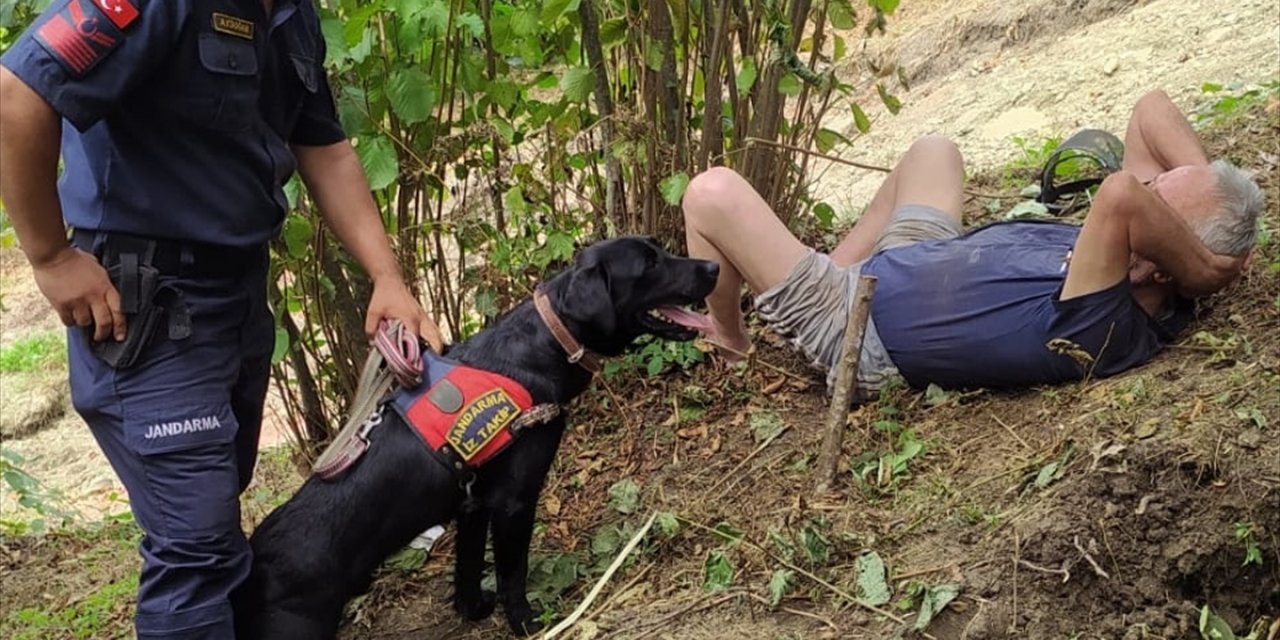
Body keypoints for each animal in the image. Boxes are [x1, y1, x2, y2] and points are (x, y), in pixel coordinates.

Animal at [234, 238, 721, 637]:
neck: (544, 344)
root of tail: (252, 567)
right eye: (650, 264)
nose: (714, 265)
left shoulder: (473, 501)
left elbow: (467, 565)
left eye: (660, 250)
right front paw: (528, 625)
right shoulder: (513, 501)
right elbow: (511, 572)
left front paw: (472, 610)